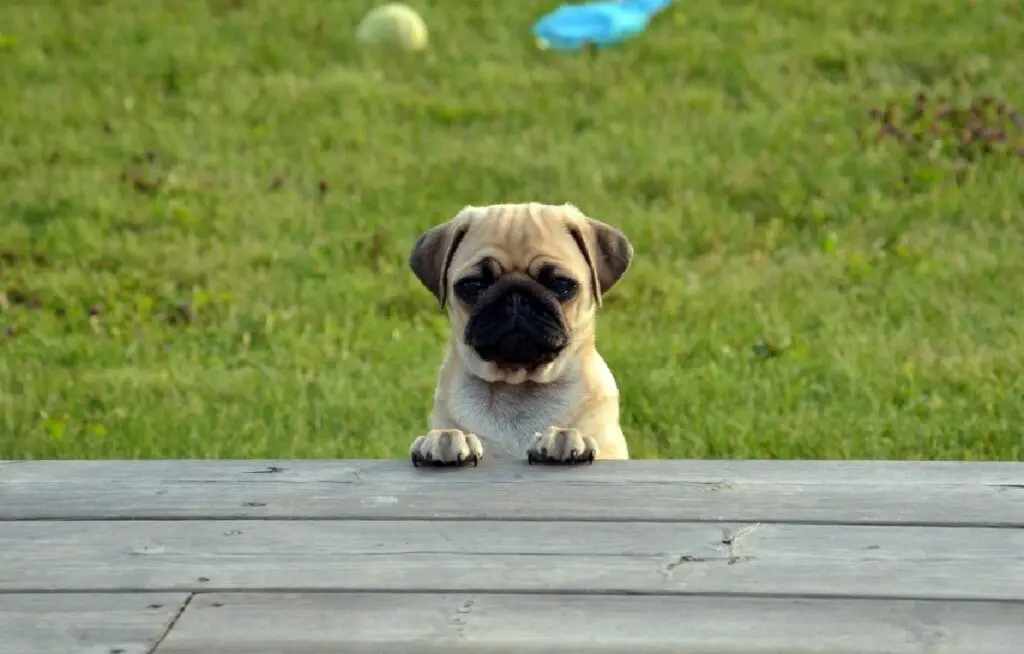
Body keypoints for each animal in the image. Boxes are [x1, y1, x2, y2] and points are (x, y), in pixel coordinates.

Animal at [401, 202, 626, 468]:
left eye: (561, 284)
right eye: (473, 285)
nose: (516, 295)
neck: (517, 387)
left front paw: (563, 438)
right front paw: (446, 439)